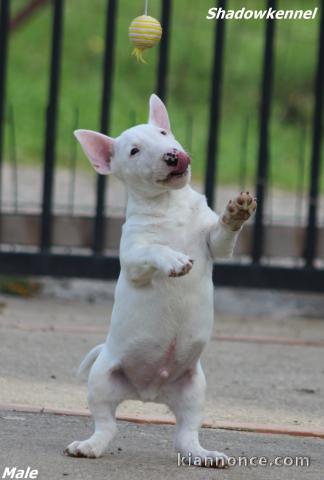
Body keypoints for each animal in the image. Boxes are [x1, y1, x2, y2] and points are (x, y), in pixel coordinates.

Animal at [64, 94, 256, 468]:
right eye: (134, 151)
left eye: (165, 133)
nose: (172, 155)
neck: (170, 204)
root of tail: (148, 392)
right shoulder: (133, 258)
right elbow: (153, 249)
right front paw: (175, 261)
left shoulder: (213, 245)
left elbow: (222, 236)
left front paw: (236, 213)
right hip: (102, 380)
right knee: (106, 424)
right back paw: (89, 446)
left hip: (194, 388)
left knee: (185, 435)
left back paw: (203, 454)